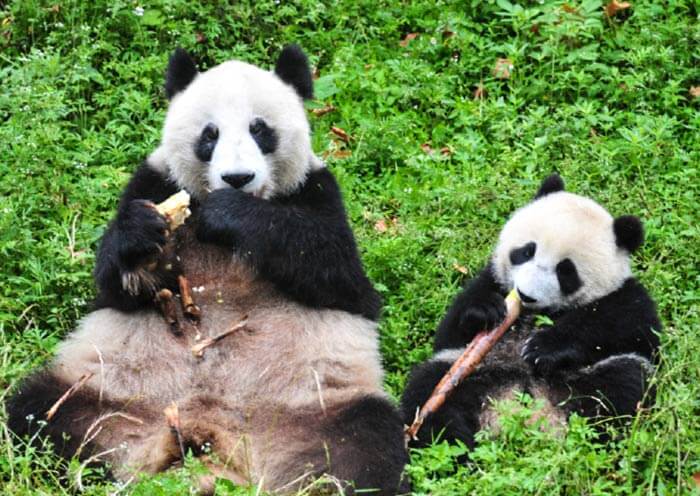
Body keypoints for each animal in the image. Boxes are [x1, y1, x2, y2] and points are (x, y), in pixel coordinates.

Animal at [8, 46, 408, 494]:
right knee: (39, 411)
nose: (237, 178)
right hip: (105, 392)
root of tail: (210, 436)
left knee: (366, 444)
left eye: (259, 129)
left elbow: (337, 272)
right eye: (209, 134)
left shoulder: (316, 190)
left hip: (317, 409)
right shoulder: (153, 181)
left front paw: (232, 212)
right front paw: (141, 234)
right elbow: (114, 288)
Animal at [401, 174, 662, 450]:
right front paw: (486, 311)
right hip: (473, 374)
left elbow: (631, 327)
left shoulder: (625, 294)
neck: (534, 314)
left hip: (585, 381)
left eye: (565, 271)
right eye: (526, 251)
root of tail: (526, 415)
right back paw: (454, 446)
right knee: (428, 391)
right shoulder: (492, 280)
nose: (526, 295)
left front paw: (543, 347)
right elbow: (450, 330)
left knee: (622, 385)